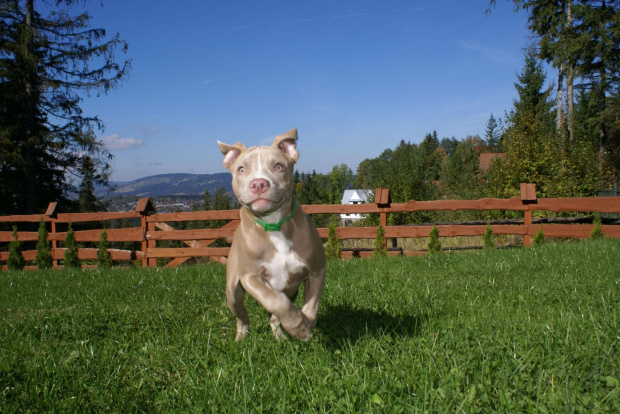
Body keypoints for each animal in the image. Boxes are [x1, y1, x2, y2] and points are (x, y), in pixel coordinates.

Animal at [217, 129, 324, 340]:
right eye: (241, 170)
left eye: (278, 166)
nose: (258, 183)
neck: (274, 225)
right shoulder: (251, 277)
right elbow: (275, 300)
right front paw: (300, 328)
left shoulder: (317, 271)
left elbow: (310, 308)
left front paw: (303, 326)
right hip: (233, 290)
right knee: (242, 314)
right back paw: (241, 337)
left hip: (291, 290)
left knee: (276, 315)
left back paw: (280, 335)